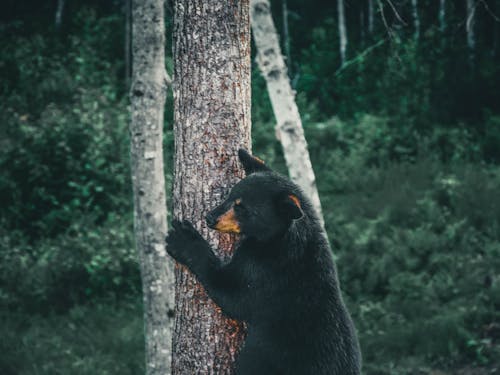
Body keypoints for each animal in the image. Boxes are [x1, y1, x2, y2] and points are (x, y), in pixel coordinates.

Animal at [166, 151, 362, 375]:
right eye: (230, 196)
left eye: (242, 208)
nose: (209, 217)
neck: (279, 238)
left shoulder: (267, 272)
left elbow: (233, 294)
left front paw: (183, 239)